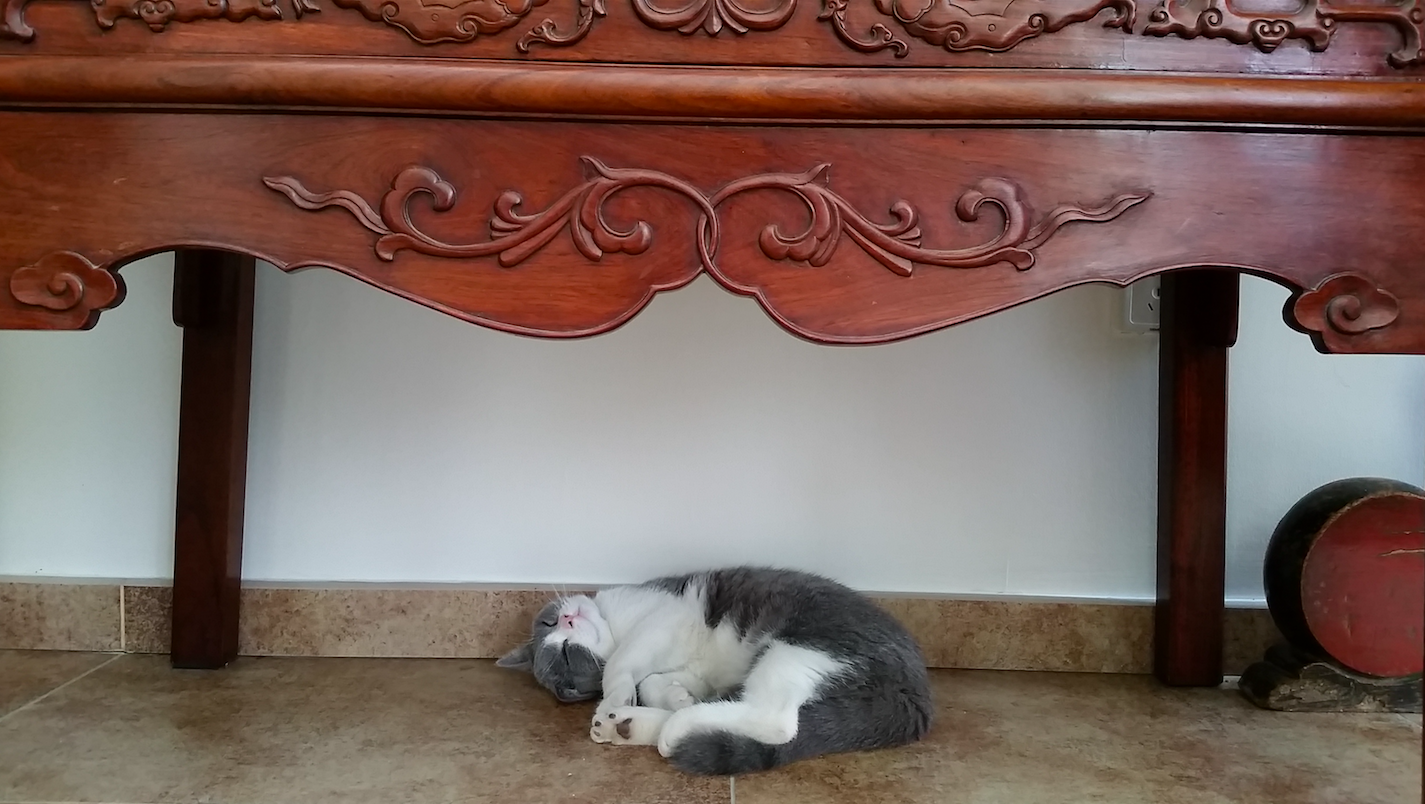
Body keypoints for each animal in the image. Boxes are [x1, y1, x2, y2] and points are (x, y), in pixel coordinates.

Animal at [497, 566, 934, 775]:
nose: (567, 620)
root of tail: (916, 694)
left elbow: (622, 665)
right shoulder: (690, 666)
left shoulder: (664, 616)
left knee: (776, 720)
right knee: (769, 718)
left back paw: (658, 723)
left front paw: (616, 694)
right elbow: (653, 681)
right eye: (566, 656)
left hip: (805, 640)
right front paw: (670, 695)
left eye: (562, 645)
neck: (617, 627)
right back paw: (632, 725)